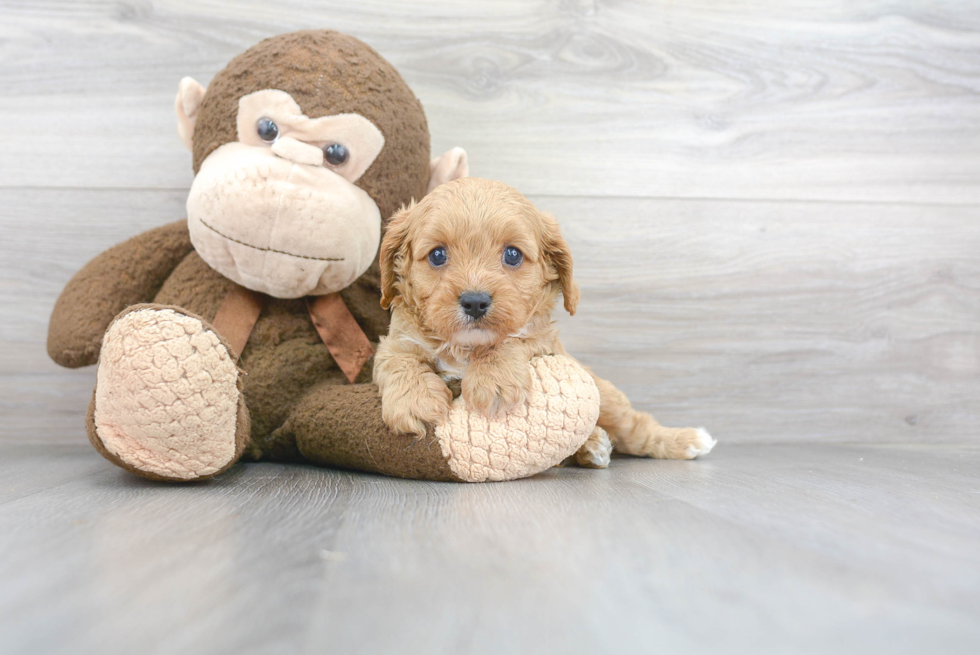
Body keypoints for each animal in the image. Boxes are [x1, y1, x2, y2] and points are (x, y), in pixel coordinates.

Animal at [374, 177, 712, 468]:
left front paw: (494, 379)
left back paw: (685, 440)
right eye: (437, 255)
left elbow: (513, 339)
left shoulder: (544, 340)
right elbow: (399, 360)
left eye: (512, 255)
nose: (475, 301)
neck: (465, 349)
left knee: (636, 428)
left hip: (606, 397)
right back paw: (592, 446)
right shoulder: (394, 342)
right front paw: (415, 401)